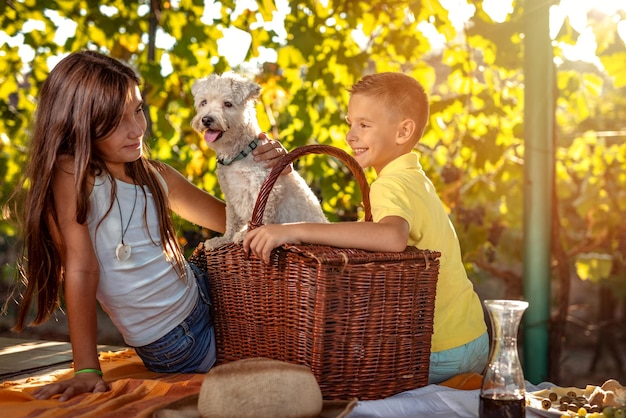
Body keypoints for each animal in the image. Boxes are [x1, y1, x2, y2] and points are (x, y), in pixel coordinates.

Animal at [190, 72, 326, 248]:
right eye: (204, 102)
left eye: (228, 104)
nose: (206, 119)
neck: (239, 153)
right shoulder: (231, 195)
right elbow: (231, 221)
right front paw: (223, 240)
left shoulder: (265, 190)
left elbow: (259, 217)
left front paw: (245, 234)